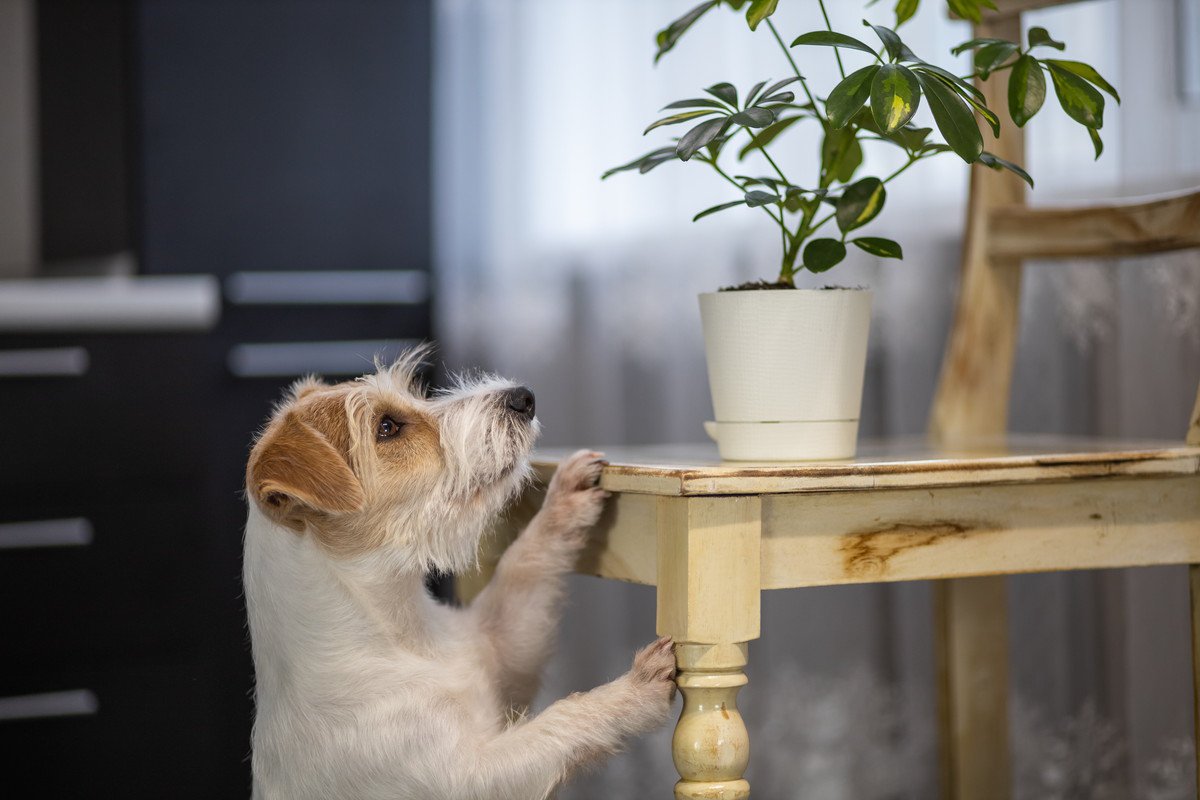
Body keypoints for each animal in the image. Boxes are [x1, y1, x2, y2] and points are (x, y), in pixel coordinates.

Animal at [242, 355, 676, 800]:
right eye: (387, 427)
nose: (523, 397)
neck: (403, 635)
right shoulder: (472, 776)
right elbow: (561, 720)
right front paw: (635, 688)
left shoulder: (502, 655)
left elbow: (522, 566)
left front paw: (564, 499)